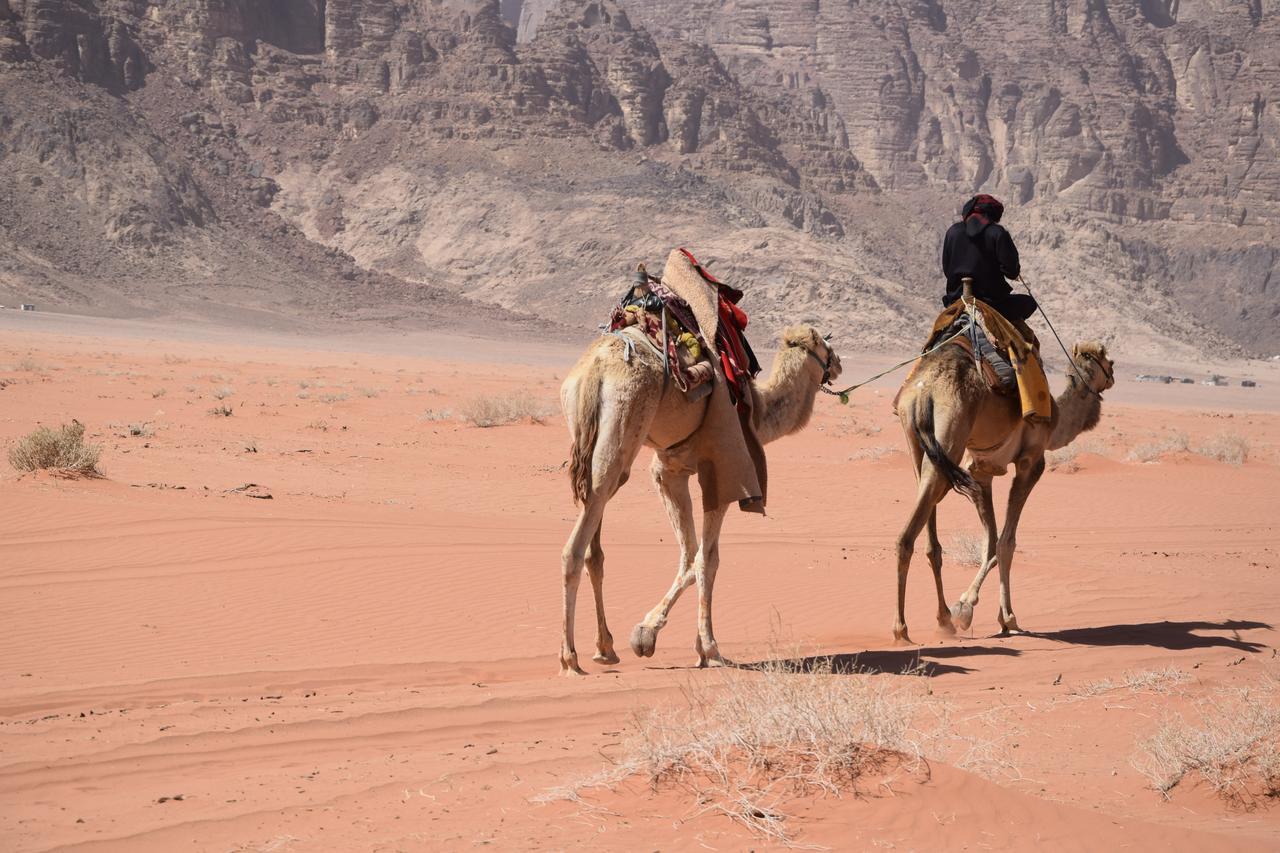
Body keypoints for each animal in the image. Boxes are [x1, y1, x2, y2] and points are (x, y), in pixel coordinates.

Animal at [558, 324, 839, 671]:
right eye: (824, 344)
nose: (838, 364)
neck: (757, 411)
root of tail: (593, 371)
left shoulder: (669, 470)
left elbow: (690, 554)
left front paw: (649, 635)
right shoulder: (721, 474)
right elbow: (707, 559)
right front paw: (708, 648)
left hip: (588, 440)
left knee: (593, 544)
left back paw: (604, 647)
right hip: (622, 428)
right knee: (576, 546)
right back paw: (570, 657)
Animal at [890, 308, 1111, 640]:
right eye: (1108, 359)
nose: (1112, 376)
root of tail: (924, 390)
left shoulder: (981, 471)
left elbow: (990, 542)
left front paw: (970, 610)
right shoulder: (1031, 462)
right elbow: (1006, 543)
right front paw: (1001, 616)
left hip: (920, 444)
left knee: (927, 534)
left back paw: (942, 618)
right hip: (951, 434)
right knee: (907, 536)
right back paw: (902, 628)